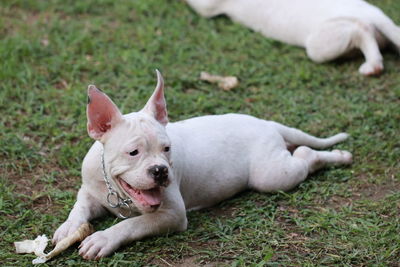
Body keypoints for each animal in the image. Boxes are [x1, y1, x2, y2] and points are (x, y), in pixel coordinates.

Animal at [51, 70, 352, 260]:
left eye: (167, 149)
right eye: (133, 152)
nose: (161, 170)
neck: (117, 192)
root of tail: (266, 123)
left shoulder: (172, 215)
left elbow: (134, 224)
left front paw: (103, 238)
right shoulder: (89, 190)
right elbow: (80, 207)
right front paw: (68, 228)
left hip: (273, 175)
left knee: (304, 154)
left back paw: (338, 156)